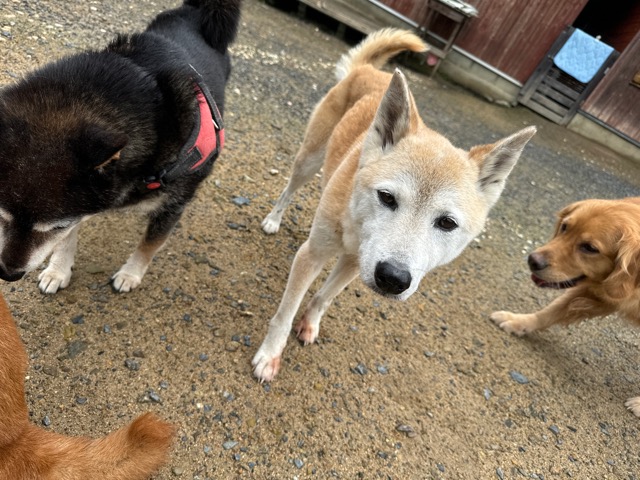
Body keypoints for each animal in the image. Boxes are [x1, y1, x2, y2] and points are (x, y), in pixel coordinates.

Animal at [0, 0, 241, 294]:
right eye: (3, 215)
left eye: (55, 226)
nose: (8, 273)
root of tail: (197, 13)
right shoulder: (82, 206)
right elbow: (70, 237)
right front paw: (58, 271)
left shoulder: (173, 205)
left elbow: (150, 245)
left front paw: (130, 274)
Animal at [252, 28, 537, 382]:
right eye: (387, 197)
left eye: (447, 222)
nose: (393, 278)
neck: (355, 224)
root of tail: (371, 72)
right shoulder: (312, 255)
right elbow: (285, 313)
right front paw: (269, 355)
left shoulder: (355, 263)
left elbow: (323, 297)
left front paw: (310, 323)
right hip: (310, 158)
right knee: (289, 189)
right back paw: (273, 220)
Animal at [491, 197, 640, 416]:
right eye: (565, 227)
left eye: (590, 248)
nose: (532, 260)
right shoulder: (604, 294)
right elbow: (550, 312)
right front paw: (518, 321)